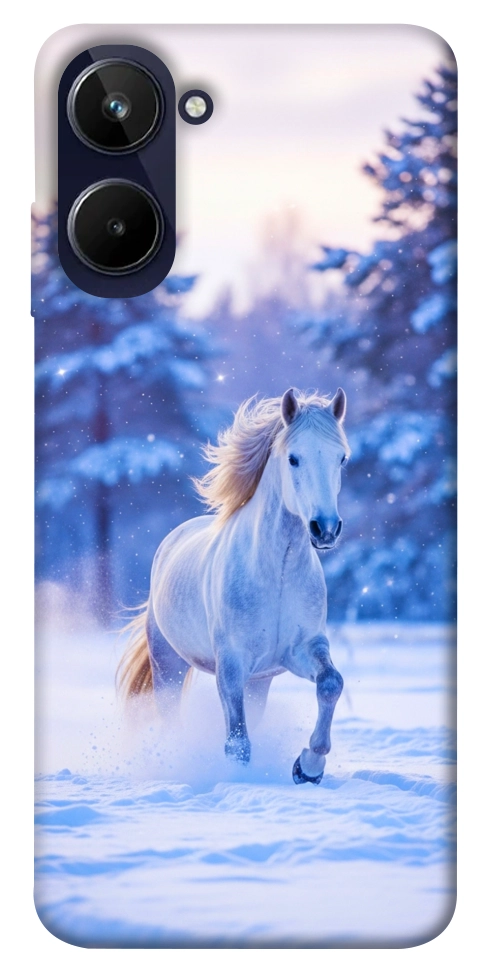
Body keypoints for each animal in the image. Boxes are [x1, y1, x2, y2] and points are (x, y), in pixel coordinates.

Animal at [118, 387, 350, 784]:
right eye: (294, 458)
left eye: (341, 459)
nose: (325, 529)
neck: (277, 573)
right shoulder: (231, 664)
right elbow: (237, 742)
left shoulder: (301, 649)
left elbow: (331, 683)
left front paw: (308, 767)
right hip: (168, 665)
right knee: (171, 717)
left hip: (259, 682)